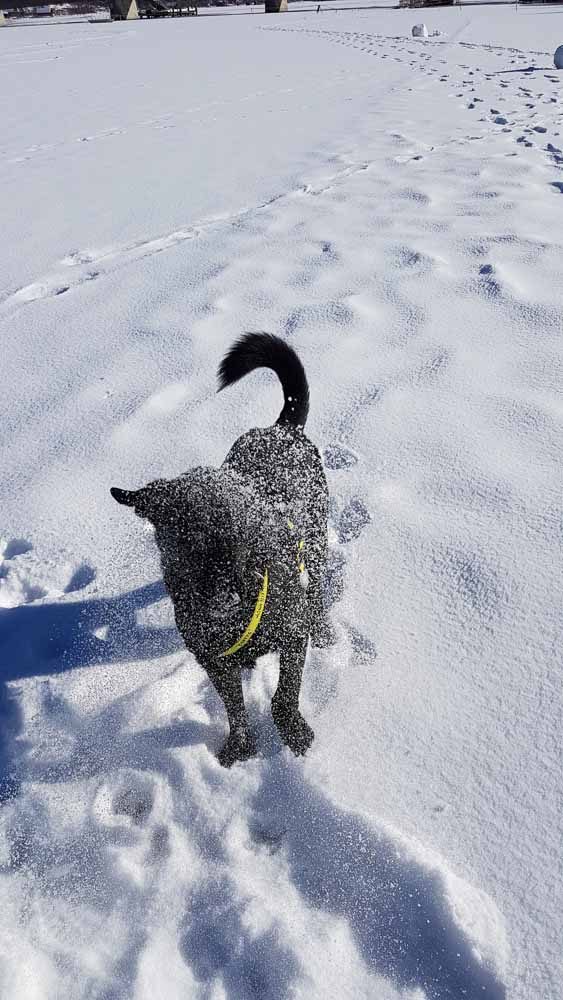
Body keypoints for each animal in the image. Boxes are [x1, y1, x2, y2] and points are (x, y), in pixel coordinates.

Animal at [111, 334, 334, 764]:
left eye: (243, 540)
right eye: (186, 543)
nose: (223, 597)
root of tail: (281, 428)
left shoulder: (292, 635)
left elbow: (284, 696)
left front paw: (294, 732)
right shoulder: (213, 661)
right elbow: (234, 707)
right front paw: (240, 745)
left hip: (316, 540)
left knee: (317, 587)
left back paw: (323, 624)